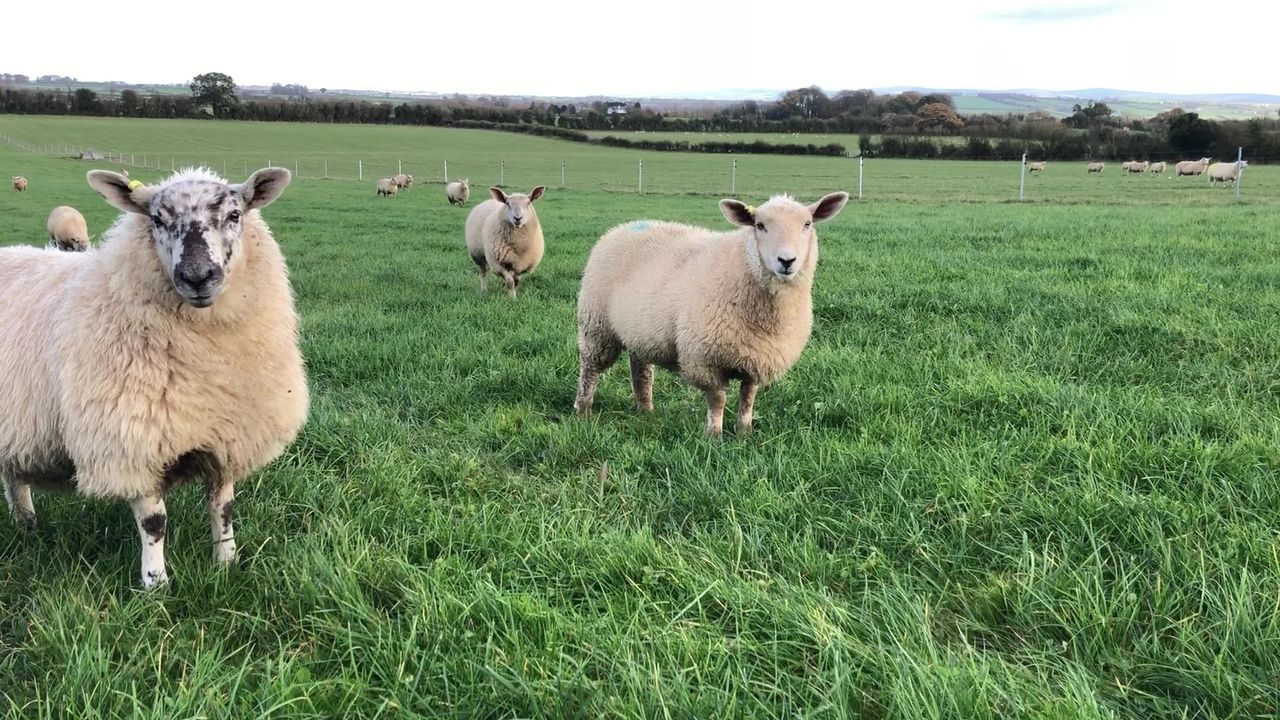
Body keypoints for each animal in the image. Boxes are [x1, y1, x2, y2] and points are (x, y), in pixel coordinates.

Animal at [0, 166, 308, 588]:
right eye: (157, 219)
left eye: (234, 215)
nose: (197, 277)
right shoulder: (132, 442)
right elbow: (154, 522)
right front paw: (155, 584)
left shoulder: (226, 437)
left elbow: (223, 508)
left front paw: (226, 564)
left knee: (14, 477)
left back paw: (26, 525)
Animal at [574, 192, 849, 437]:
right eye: (759, 225)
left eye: (807, 224)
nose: (786, 260)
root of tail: (621, 228)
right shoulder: (705, 358)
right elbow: (717, 400)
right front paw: (714, 437)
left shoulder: (757, 357)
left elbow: (748, 398)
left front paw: (743, 433)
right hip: (596, 325)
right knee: (590, 368)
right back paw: (583, 410)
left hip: (638, 330)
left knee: (640, 367)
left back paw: (645, 409)